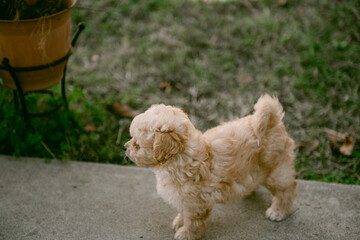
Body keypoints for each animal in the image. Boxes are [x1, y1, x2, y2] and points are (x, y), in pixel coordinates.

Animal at [125, 94, 296, 239]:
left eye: (137, 144)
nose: (125, 147)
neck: (182, 157)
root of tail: (272, 121)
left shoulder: (195, 204)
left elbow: (193, 223)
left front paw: (186, 234)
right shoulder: (184, 199)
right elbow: (182, 212)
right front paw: (179, 221)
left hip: (277, 171)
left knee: (287, 191)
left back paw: (278, 212)